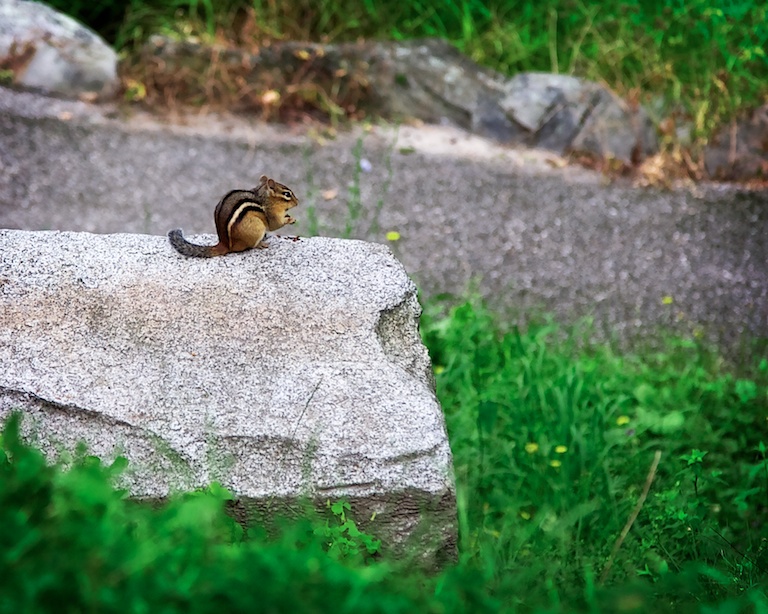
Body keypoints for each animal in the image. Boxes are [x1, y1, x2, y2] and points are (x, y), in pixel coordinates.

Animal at [168, 175, 299, 258]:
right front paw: (290, 219)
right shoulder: (271, 214)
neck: (264, 197)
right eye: (287, 194)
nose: (298, 202)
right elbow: (275, 225)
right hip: (257, 227)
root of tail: (225, 245)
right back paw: (260, 244)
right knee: (251, 246)